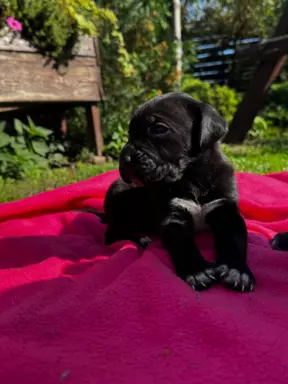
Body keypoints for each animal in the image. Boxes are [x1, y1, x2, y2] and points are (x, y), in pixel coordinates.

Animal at [103, 92, 254, 292]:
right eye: (129, 134)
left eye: (159, 129)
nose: (125, 159)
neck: (192, 176)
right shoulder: (173, 219)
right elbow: (182, 243)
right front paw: (197, 271)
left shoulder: (226, 212)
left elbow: (234, 242)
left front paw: (236, 270)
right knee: (113, 235)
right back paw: (142, 240)